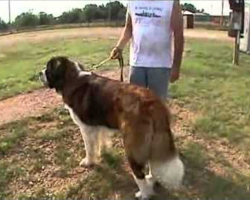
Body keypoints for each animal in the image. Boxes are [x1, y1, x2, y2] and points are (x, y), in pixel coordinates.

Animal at [39, 56, 184, 200]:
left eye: (48, 68)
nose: (39, 73)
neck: (72, 78)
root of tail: (151, 103)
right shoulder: (99, 125)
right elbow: (101, 140)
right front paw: (103, 152)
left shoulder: (86, 128)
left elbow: (89, 148)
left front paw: (88, 161)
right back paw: (151, 180)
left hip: (132, 146)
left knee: (139, 173)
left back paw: (143, 194)